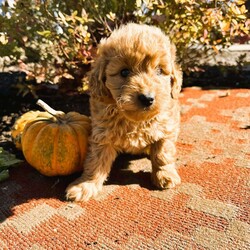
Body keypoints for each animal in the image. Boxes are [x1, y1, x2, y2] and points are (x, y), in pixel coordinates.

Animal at [66, 22, 183, 201]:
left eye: (159, 70)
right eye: (124, 72)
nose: (147, 98)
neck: (135, 120)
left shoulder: (166, 128)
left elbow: (162, 154)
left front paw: (165, 175)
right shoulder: (102, 134)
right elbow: (95, 162)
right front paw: (85, 185)